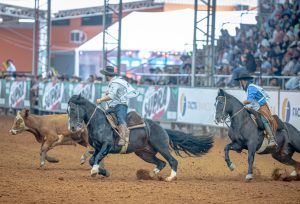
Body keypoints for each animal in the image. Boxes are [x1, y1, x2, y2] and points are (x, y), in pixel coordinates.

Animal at [68, 94, 213, 182]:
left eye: (73, 109)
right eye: (68, 111)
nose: (72, 127)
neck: (99, 122)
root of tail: (162, 129)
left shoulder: (106, 145)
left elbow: (96, 159)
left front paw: (94, 171)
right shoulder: (98, 147)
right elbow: (93, 159)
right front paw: (104, 171)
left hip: (162, 147)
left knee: (173, 161)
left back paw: (170, 178)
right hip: (144, 153)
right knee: (161, 163)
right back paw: (151, 174)